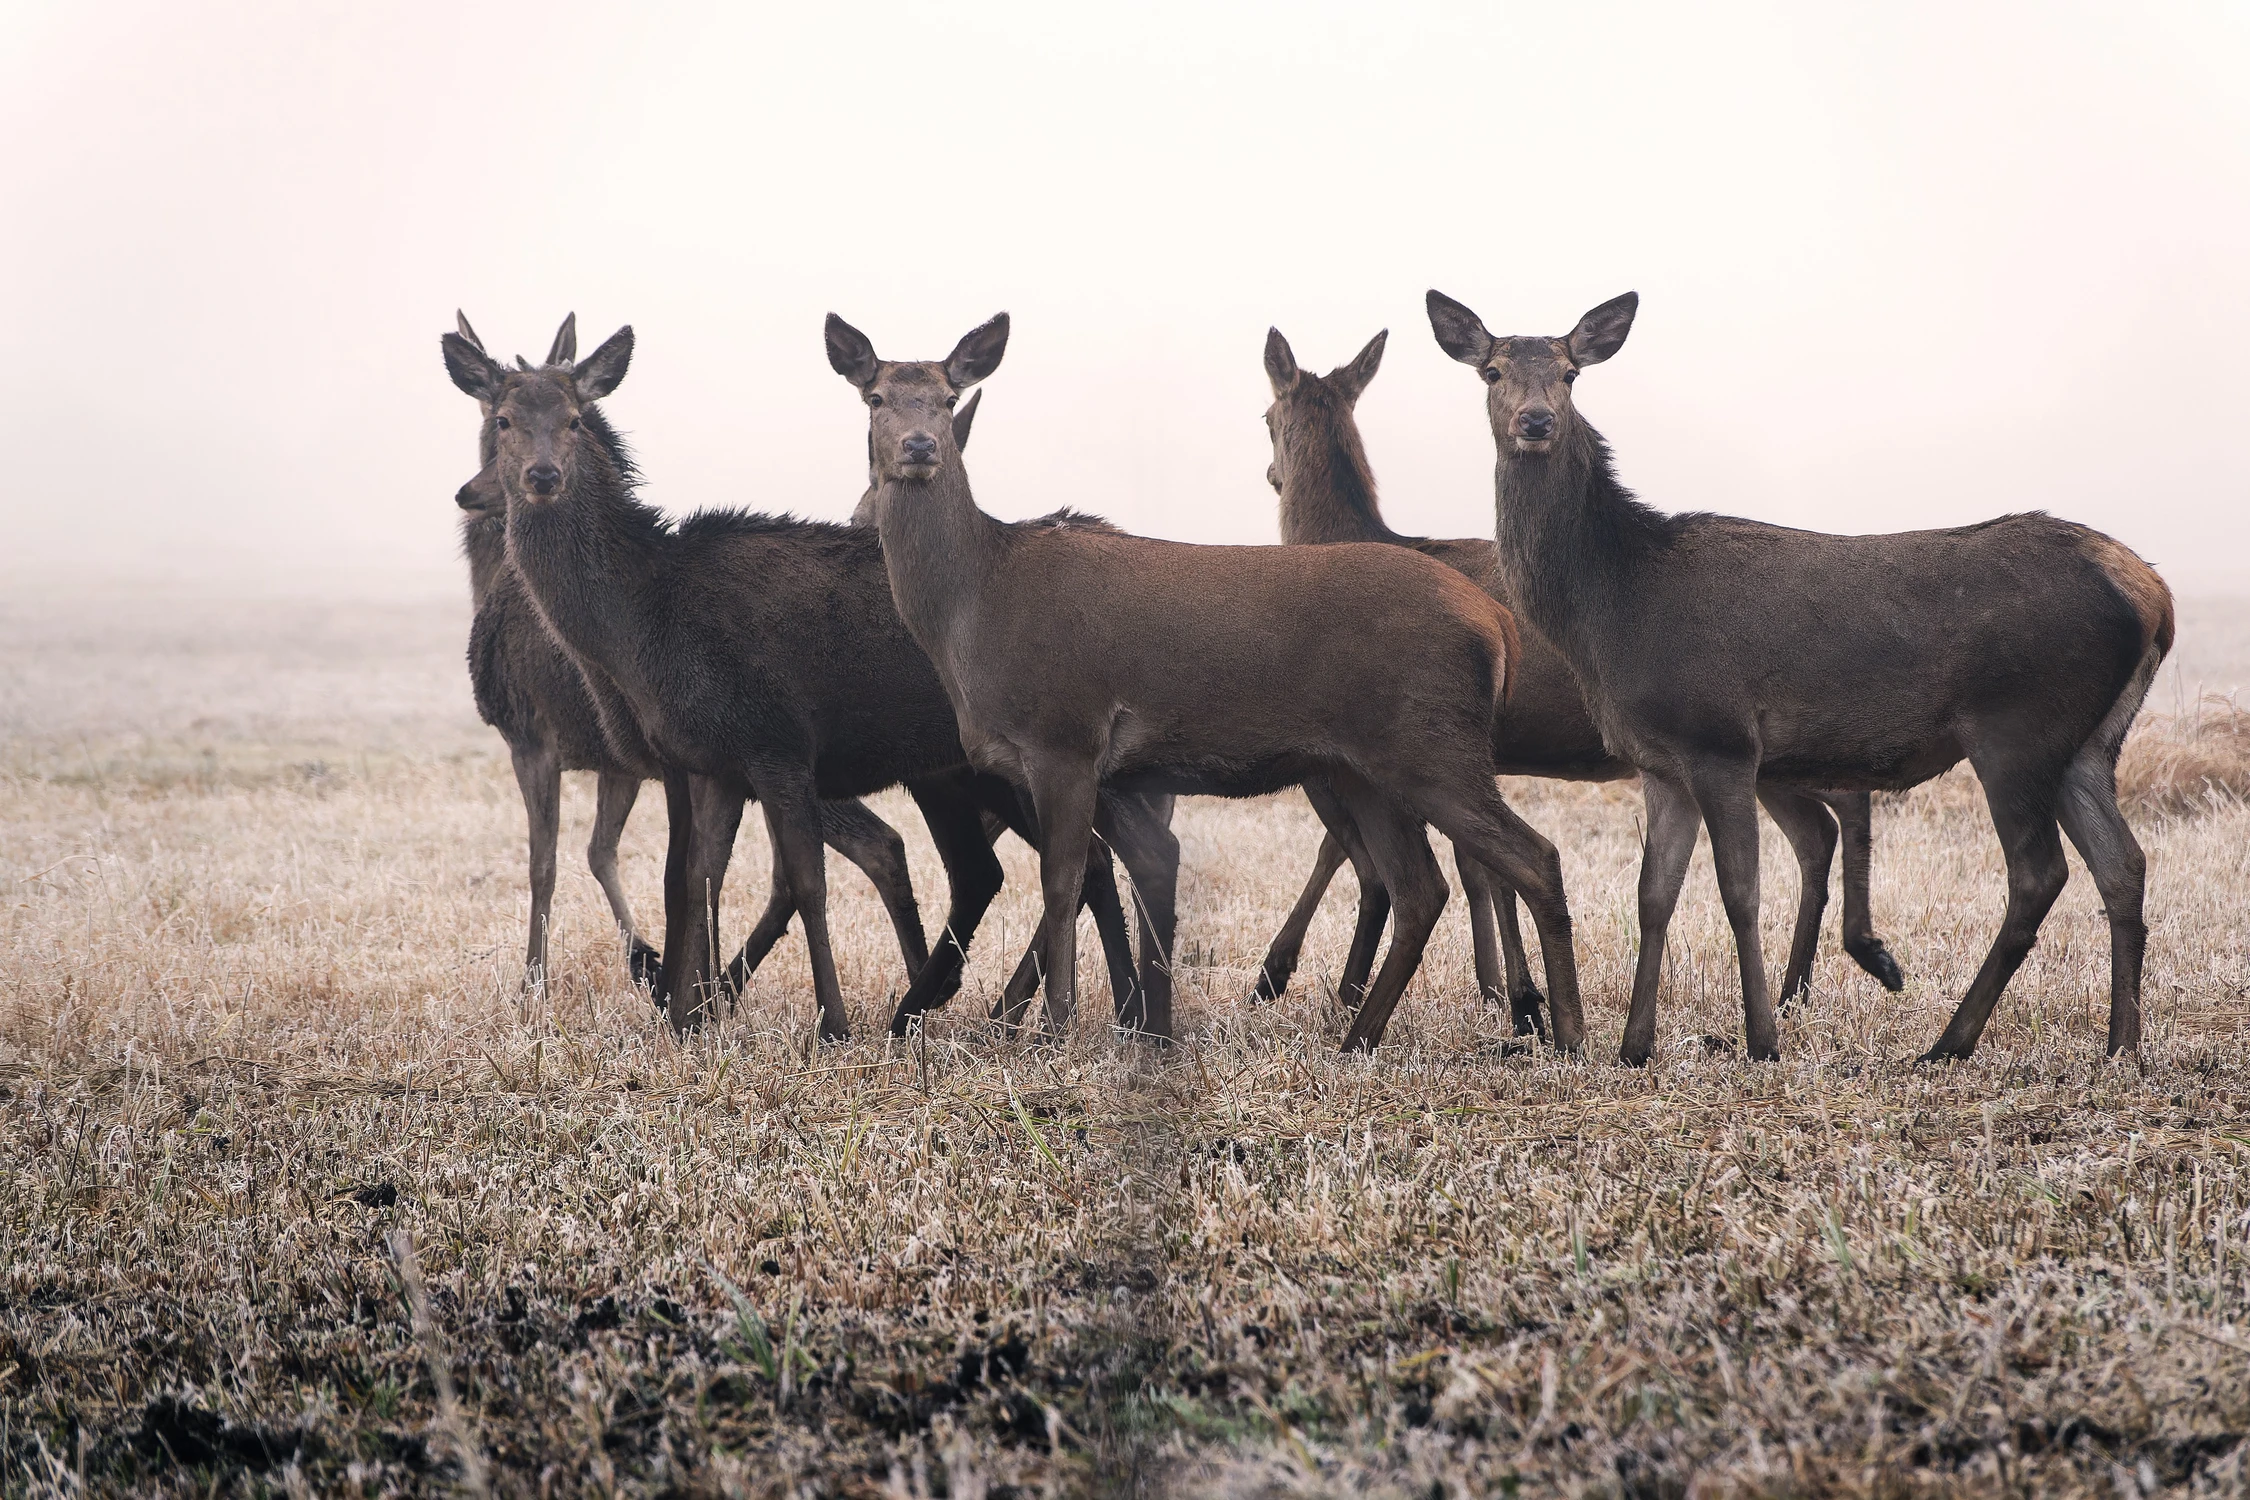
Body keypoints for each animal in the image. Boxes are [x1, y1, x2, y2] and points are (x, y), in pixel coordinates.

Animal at [443, 317, 1179, 1043]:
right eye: (503, 420)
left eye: (574, 419)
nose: (539, 476)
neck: (641, 623)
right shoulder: (712, 761)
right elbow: (696, 877)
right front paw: (689, 1017)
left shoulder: (775, 742)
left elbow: (801, 883)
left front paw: (827, 1022)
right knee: (1064, 862)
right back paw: (1085, 1011)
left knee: (1071, 860)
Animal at [828, 310, 1584, 1052]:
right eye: (875, 398)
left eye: (947, 396)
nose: (920, 445)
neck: (973, 609)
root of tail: (1495, 622)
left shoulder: (1064, 736)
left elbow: (1063, 881)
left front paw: (1056, 1028)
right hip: (1368, 767)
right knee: (1420, 888)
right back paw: (1359, 1039)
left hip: (1430, 745)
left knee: (1532, 856)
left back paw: (1566, 1033)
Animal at [1260, 326, 1908, 1034]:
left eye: (1264, 417)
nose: (1270, 472)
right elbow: (1476, 865)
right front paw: (1507, 993)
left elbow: (1359, 849)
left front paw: (1291, 974)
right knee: (1819, 826)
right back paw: (1798, 987)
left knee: (1848, 799)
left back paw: (1863, 955)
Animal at [1431, 290, 2169, 1065]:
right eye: (1492, 371)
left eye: (1570, 374)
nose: (1535, 421)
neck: (1609, 609)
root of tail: (2153, 591)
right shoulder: (1659, 761)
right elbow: (1654, 894)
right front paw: (1634, 1046)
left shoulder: (1721, 739)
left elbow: (1739, 891)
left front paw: (1760, 1037)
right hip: (2089, 741)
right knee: (2124, 864)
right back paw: (2121, 1044)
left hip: (2018, 726)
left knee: (2040, 873)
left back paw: (1949, 1042)